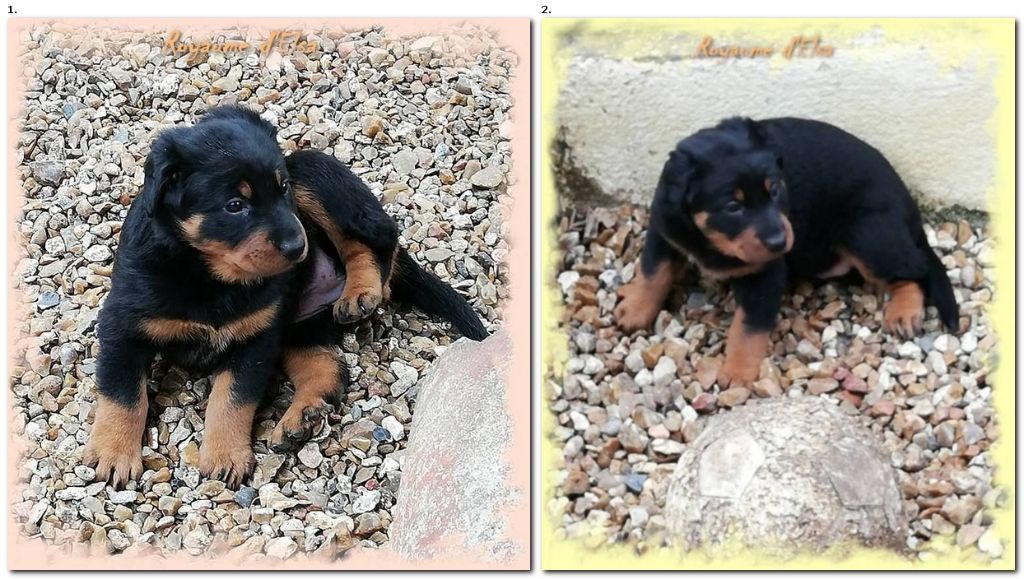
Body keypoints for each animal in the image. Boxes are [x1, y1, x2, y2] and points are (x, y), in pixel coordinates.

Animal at [83, 105, 487, 488]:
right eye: (235, 206)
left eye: (284, 190)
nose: (298, 247)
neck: (209, 275)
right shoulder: (123, 325)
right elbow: (123, 394)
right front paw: (114, 454)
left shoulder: (255, 338)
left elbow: (231, 399)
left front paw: (225, 456)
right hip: (296, 325)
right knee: (327, 365)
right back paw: (304, 416)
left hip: (311, 170)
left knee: (379, 240)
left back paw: (360, 291)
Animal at [615, 117, 959, 387]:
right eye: (733, 206)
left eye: (776, 189)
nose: (780, 242)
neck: (712, 240)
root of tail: (909, 203)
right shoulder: (665, 231)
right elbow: (651, 273)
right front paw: (634, 310)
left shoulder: (764, 273)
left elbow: (748, 327)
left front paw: (737, 372)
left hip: (867, 234)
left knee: (914, 268)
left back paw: (903, 311)